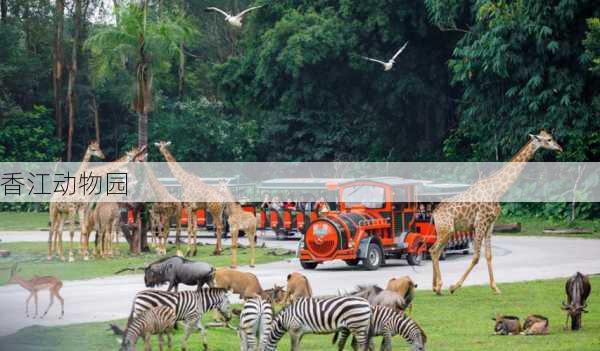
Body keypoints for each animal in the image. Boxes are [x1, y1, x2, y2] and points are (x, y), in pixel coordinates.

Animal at [432, 131, 564, 296]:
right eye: (549, 139)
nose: (560, 148)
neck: (497, 190)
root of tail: (434, 213)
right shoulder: (480, 223)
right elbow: (476, 257)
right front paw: (454, 287)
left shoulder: (490, 224)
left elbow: (489, 255)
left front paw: (495, 287)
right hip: (446, 229)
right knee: (434, 250)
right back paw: (439, 287)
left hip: (445, 231)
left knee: (434, 251)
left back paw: (436, 287)